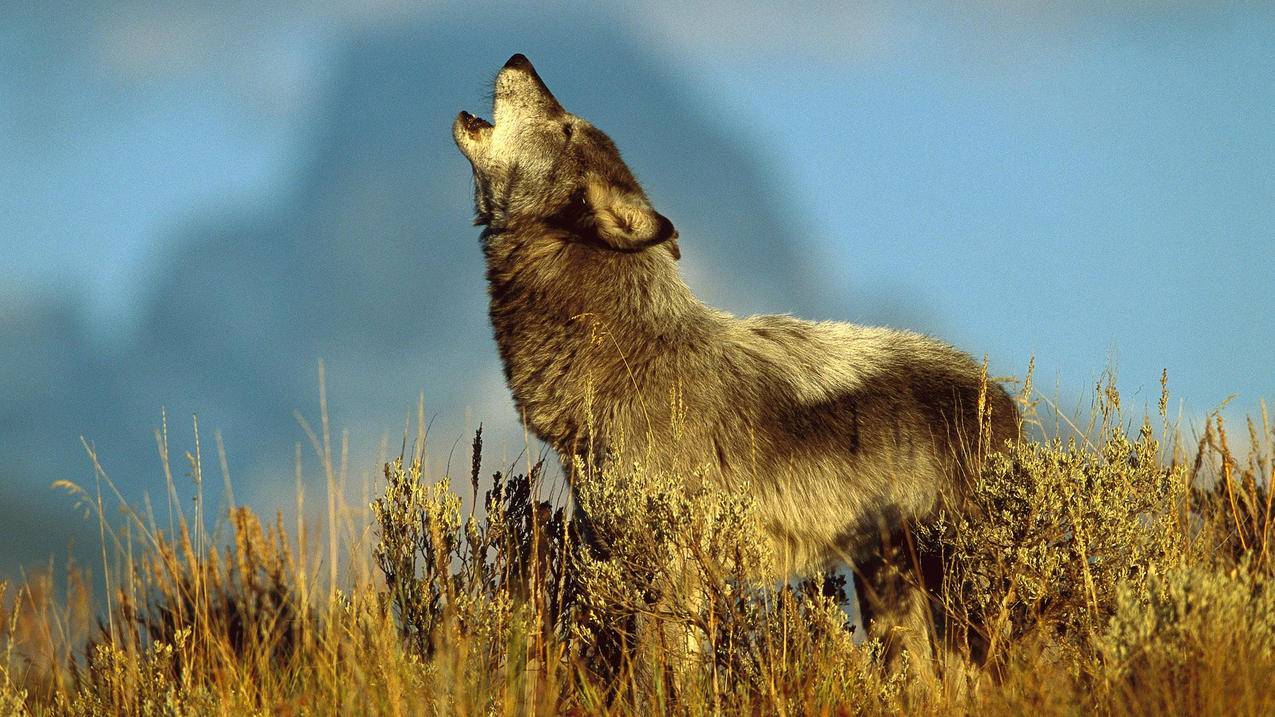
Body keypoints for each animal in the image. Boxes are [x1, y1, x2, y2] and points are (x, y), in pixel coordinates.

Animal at [453, 52, 1020, 673]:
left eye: (566, 128)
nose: (519, 59)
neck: (624, 353)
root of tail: (1004, 400)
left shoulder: (670, 570)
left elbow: (663, 675)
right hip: (890, 593)